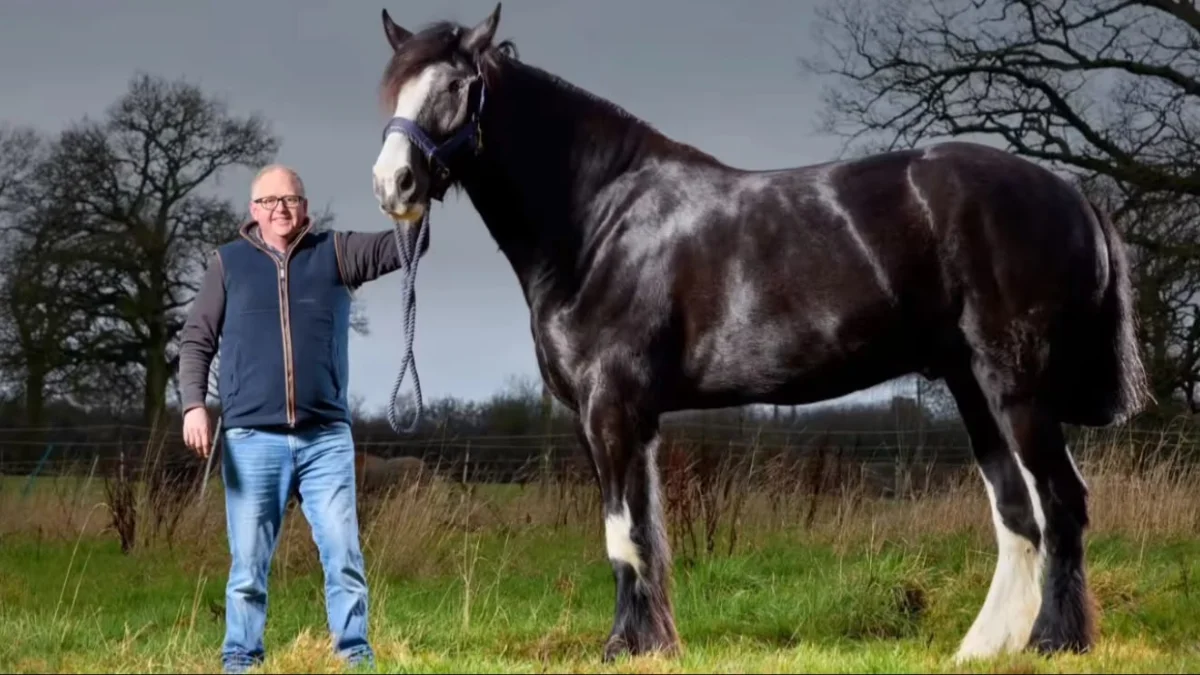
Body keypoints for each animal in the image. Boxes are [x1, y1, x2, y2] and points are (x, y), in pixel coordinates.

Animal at [367, 4, 1152, 663]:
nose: (393, 184)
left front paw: (621, 647)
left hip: (1016, 388)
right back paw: (983, 648)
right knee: (1019, 516)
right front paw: (655, 644)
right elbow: (646, 531)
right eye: (394, 90)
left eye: (457, 86)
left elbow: (622, 533)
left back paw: (1054, 641)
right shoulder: (623, 420)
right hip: (972, 388)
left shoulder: (611, 407)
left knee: (1061, 504)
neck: (600, 222)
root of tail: (1071, 192)